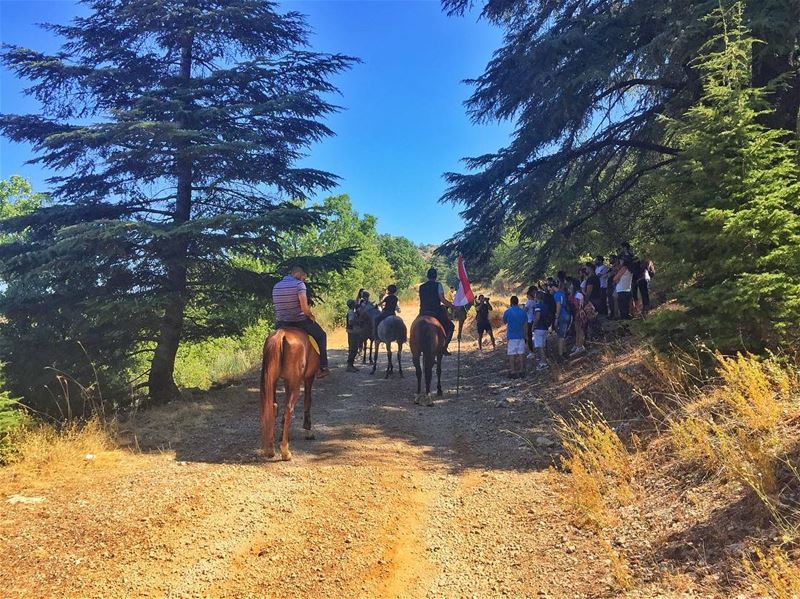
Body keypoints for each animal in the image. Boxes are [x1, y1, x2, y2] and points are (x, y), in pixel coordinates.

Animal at [258, 328, 318, 460]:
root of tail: (281, 334)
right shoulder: (309, 377)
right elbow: (307, 402)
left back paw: (270, 449)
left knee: (274, 406)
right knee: (289, 408)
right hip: (296, 382)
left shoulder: (286, 380)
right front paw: (308, 431)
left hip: (273, 380)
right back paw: (285, 452)